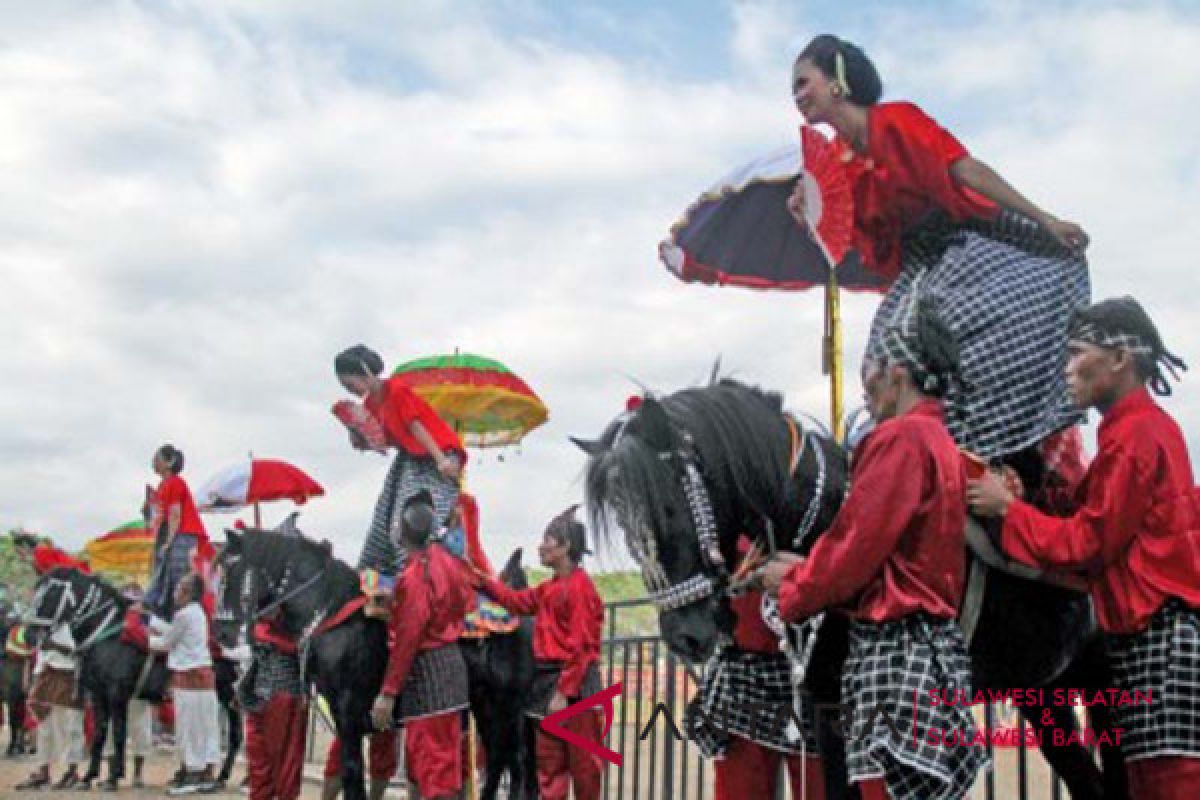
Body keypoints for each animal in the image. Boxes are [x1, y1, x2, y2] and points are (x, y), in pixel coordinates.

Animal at [28, 566, 242, 791]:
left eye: (51, 592)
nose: (30, 634)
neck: (110, 635)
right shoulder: (98, 695)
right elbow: (99, 734)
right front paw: (89, 777)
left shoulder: (117, 693)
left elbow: (119, 733)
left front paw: (113, 777)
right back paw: (193, 775)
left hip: (226, 694)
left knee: (233, 733)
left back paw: (217, 777)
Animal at [213, 527, 537, 800]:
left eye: (229, 571)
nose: (222, 633)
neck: (334, 613)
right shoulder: (339, 707)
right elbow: (348, 770)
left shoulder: (348, 706)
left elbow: (352, 769)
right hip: (485, 704)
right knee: (498, 758)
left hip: (508, 706)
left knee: (516, 760)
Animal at [576, 381, 1128, 800]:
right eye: (623, 521)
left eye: (669, 506)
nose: (686, 636)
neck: (832, 526)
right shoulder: (825, 712)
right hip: (1045, 690)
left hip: (1106, 686)